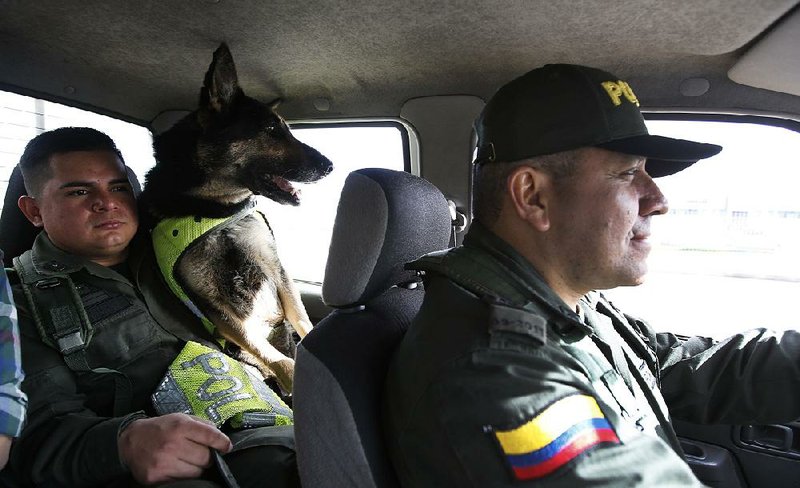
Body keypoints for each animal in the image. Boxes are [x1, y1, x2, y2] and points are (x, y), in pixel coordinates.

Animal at [139, 43, 332, 392]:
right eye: (271, 130)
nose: (330, 166)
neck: (214, 211)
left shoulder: (276, 266)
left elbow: (300, 317)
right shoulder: (214, 306)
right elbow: (266, 351)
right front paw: (293, 375)